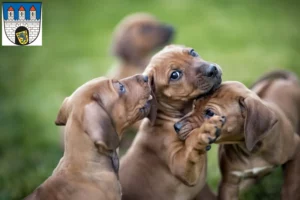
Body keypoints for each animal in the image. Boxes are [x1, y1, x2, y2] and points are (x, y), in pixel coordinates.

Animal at [175, 70, 300, 200]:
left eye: (210, 113)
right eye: (195, 104)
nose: (176, 126)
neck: (250, 149)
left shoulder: (296, 149)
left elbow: (291, 184)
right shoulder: (229, 183)